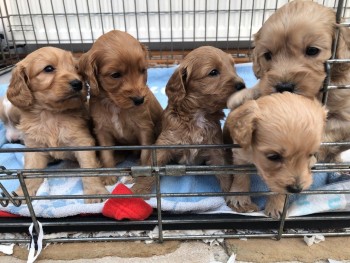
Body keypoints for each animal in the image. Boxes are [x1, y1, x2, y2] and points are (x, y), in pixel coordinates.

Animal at [6, 47, 108, 204]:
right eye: (48, 68)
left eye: (76, 68)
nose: (78, 83)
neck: (51, 115)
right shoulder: (34, 148)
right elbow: (28, 173)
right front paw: (23, 193)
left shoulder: (83, 142)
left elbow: (89, 168)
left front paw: (95, 192)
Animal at [78, 29, 163, 186]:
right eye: (115, 75)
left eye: (142, 70)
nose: (140, 100)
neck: (115, 105)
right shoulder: (102, 130)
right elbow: (106, 153)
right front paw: (108, 174)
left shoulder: (144, 128)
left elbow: (145, 152)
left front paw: (143, 172)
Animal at [131, 45, 246, 195]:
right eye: (213, 72)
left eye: (233, 68)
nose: (242, 85)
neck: (198, 115)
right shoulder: (164, 144)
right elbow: (151, 170)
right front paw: (137, 191)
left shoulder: (215, 148)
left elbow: (225, 173)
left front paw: (232, 194)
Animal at [227, 0, 350, 163]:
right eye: (268, 55)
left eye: (312, 50)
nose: (284, 86)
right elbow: (265, 85)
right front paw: (243, 95)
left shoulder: (345, 120)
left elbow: (325, 133)